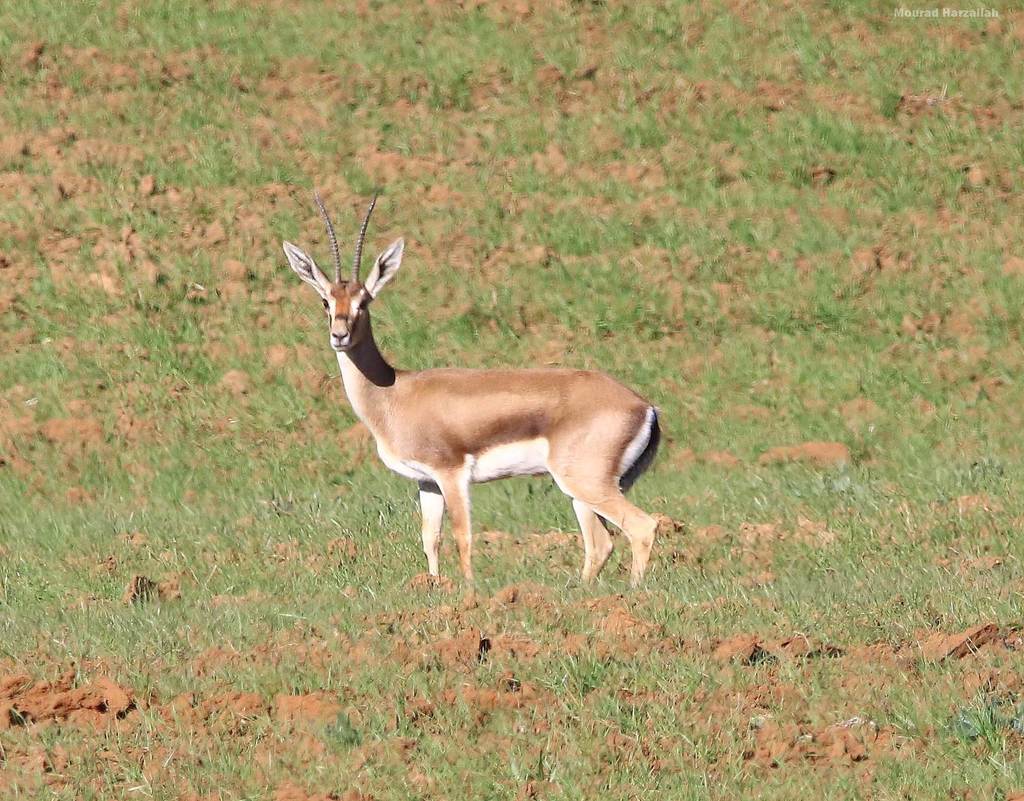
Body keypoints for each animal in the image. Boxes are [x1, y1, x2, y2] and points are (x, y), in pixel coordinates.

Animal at [282, 192, 661, 588]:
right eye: (326, 300)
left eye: (364, 301)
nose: (339, 335)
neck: (393, 394)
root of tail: (645, 407)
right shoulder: (427, 482)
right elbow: (430, 537)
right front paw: (434, 587)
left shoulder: (451, 474)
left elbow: (462, 535)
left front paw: (468, 591)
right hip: (584, 490)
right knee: (601, 543)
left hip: (585, 483)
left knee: (640, 526)